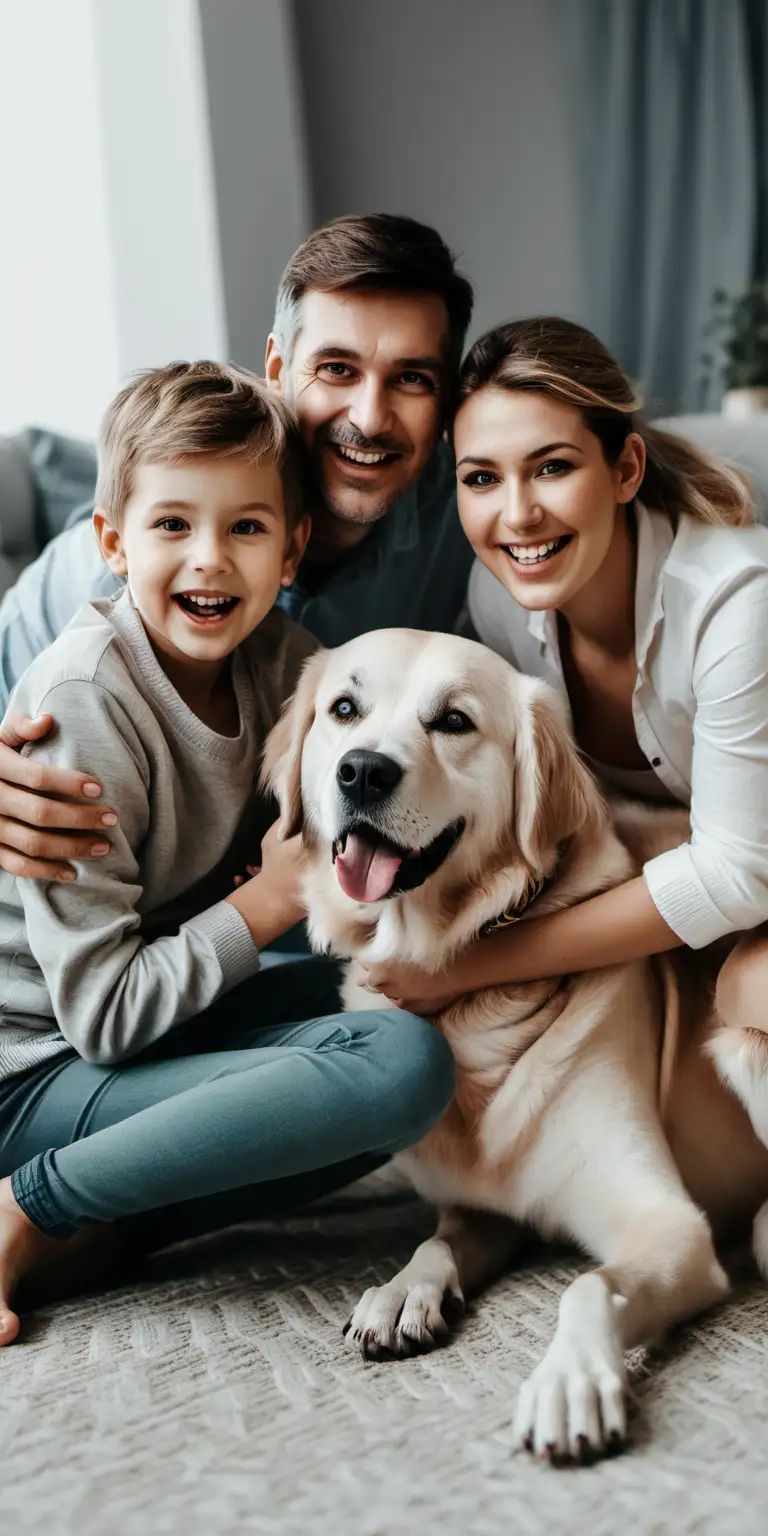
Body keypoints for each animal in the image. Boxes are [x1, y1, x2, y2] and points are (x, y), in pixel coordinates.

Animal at [265, 626, 768, 1462]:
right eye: (344, 709)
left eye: (454, 722)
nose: (362, 770)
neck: (470, 1016)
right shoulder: (483, 1212)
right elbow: (435, 1245)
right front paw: (400, 1294)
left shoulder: (669, 1226)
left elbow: (588, 1284)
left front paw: (569, 1385)